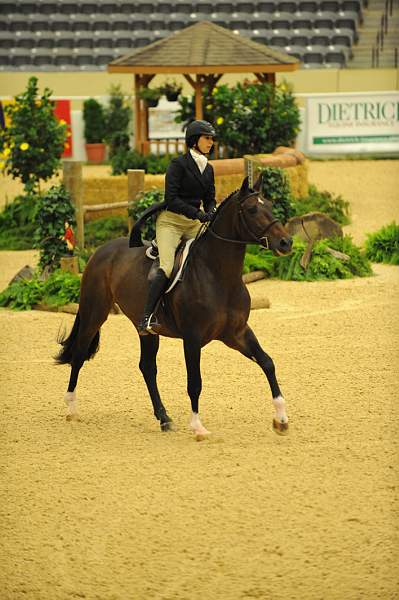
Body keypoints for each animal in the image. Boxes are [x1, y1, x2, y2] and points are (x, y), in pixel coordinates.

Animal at [56, 176, 294, 438]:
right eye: (252, 210)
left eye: (270, 206)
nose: (286, 242)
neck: (218, 275)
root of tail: (101, 251)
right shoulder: (192, 338)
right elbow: (195, 382)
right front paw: (198, 426)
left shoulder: (236, 333)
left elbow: (267, 362)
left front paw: (281, 419)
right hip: (94, 312)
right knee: (79, 354)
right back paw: (71, 408)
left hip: (146, 330)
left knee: (147, 367)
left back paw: (164, 418)